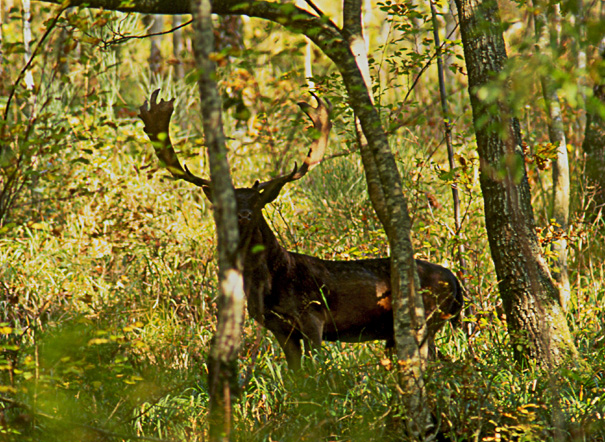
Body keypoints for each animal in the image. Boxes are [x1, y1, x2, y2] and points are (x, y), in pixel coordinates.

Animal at [139, 90, 460, 370]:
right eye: (229, 202)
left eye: (257, 202)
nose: (243, 214)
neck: (270, 285)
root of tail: (456, 283)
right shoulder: (279, 328)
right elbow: (296, 375)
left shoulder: (313, 316)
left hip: (428, 316)